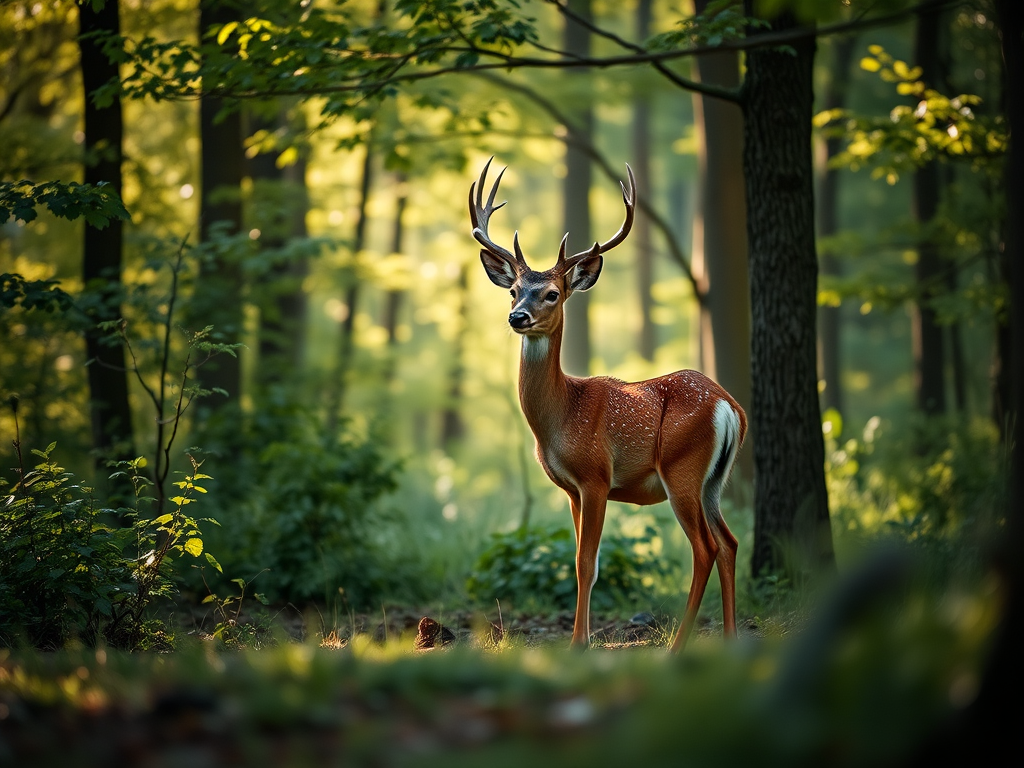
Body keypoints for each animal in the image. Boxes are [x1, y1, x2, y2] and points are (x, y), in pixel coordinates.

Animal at [470, 158, 747, 651]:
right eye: (513, 290)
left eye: (552, 294)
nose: (517, 317)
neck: (561, 417)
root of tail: (730, 407)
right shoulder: (569, 488)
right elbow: (578, 561)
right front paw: (578, 637)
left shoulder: (596, 476)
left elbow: (587, 563)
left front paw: (579, 642)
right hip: (714, 479)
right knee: (730, 542)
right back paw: (731, 639)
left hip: (682, 468)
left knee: (706, 548)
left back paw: (678, 644)